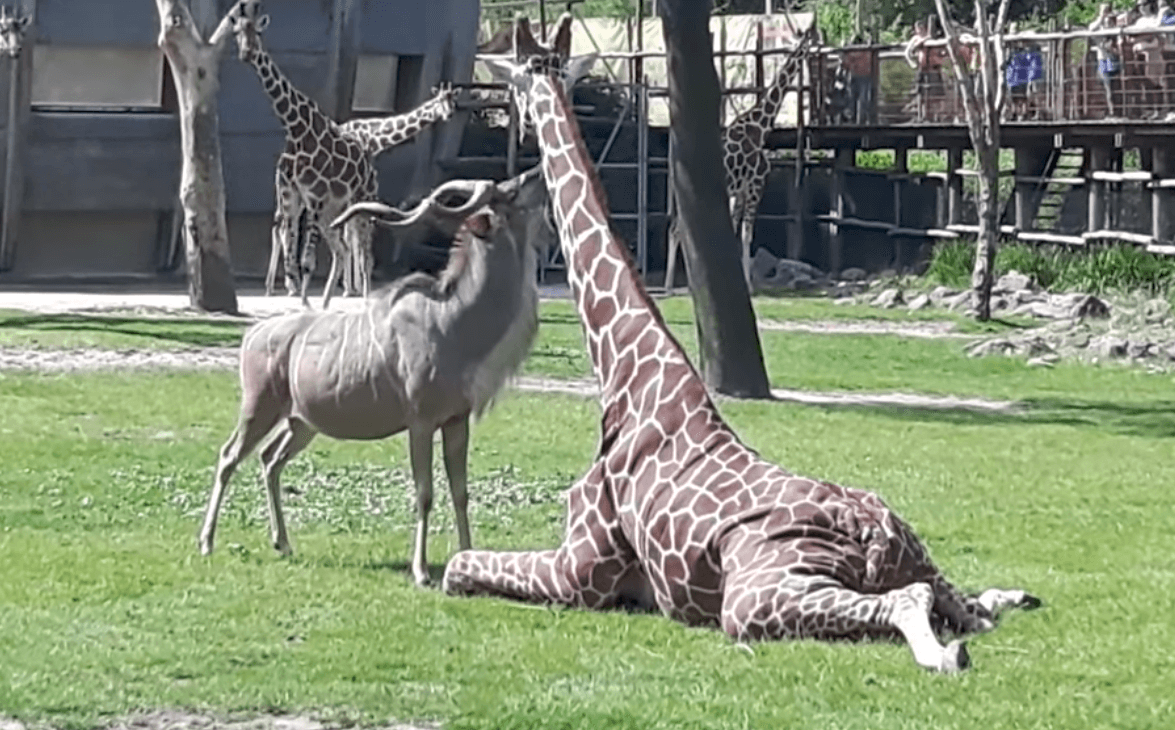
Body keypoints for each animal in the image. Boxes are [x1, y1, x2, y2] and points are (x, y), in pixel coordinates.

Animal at [230, 0, 375, 310]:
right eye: (236, 32)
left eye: (256, 31)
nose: (246, 54)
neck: (296, 127)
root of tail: (368, 163)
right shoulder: (295, 195)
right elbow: (291, 245)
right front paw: (304, 301)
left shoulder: (315, 196)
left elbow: (307, 259)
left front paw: (303, 301)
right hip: (335, 210)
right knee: (342, 249)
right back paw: (326, 303)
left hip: (361, 201)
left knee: (364, 251)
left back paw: (366, 302)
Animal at [265, 87, 457, 298]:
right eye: (440, 101)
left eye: (452, 101)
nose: (449, 114)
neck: (373, 136)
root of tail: (283, 159)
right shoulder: (353, 190)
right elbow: (352, 234)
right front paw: (351, 287)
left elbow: (350, 233)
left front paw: (351, 286)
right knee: (285, 227)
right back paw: (289, 286)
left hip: (290, 193)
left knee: (281, 226)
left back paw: (278, 286)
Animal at [664, 28, 814, 291]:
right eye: (815, 42)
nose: (818, 53)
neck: (760, 127)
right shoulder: (755, 185)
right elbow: (746, 234)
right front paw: (749, 285)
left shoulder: (741, 191)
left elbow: (735, 231)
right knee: (677, 230)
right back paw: (670, 285)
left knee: (677, 229)